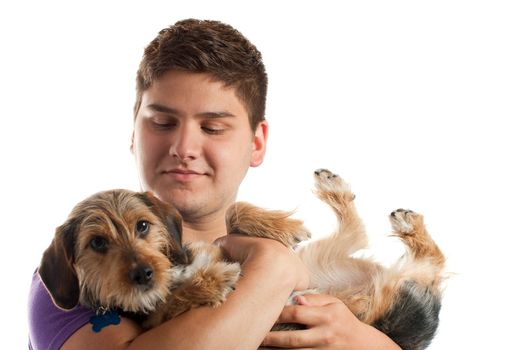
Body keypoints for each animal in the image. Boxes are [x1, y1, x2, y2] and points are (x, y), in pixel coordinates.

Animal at [39, 169, 444, 348]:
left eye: (142, 226)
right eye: (97, 243)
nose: (144, 274)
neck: (177, 270)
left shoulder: (218, 243)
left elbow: (234, 212)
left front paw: (280, 225)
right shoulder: (155, 321)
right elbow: (171, 303)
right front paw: (212, 281)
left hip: (318, 261)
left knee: (373, 237)